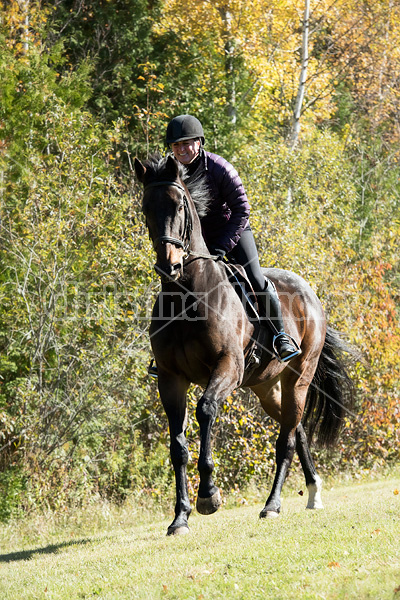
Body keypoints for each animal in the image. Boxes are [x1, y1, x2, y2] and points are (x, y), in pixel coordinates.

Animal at [135, 154, 354, 536]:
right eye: (147, 207)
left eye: (179, 206)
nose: (169, 266)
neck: (186, 296)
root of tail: (310, 292)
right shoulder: (170, 379)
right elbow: (177, 447)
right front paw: (180, 518)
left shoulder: (228, 367)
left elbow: (206, 410)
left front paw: (209, 495)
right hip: (266, 386)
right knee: (296, 429)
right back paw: (313, 492)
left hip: (298, 377)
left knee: (286, 440)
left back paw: (273, 505)